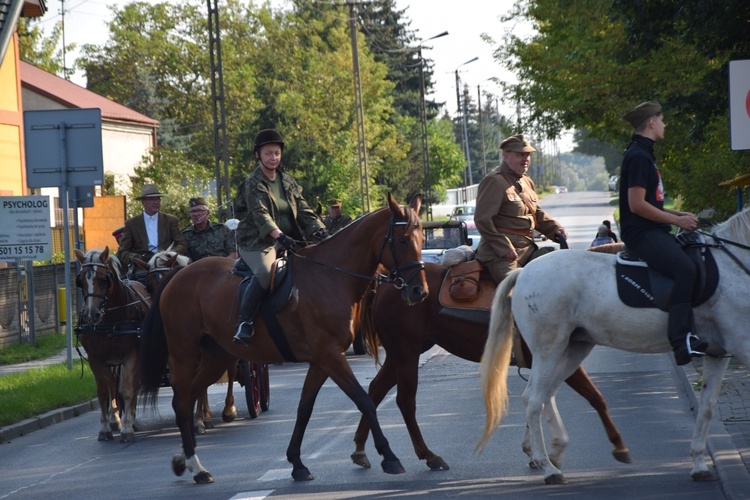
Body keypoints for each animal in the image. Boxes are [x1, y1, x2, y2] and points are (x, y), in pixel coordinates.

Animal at [74, 246, 151, 442]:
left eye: (103, 279)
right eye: (80, 282)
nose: (91, 315)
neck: (110, 321)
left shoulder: (132, 355)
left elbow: (128, 389)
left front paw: (127, 428)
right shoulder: (96, 358)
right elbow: (103, 392)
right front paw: (105, 428)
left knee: (130, 385)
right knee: (112, 386)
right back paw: (116, 419)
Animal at [137, 194, 426, 484]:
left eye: (422, 238)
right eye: (402, 240)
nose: (419, 291)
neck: (331, 276)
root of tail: (178, 273)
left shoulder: (321, 361)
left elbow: (304, 408)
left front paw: (297, 463)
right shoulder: (330, 356)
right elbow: (363, 400)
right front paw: (389, 457)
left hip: (216, 357)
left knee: (190, 396)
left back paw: (187, 459)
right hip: (183, 352)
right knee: (181, 400)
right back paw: (196, 466)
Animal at [356, 246, 632, 472]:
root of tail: (387, 285)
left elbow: (541, 399)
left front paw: (534, 451)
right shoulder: (559, 358)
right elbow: (593, 396)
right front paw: (618, 445)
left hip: (400, 354)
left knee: (375, 389)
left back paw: (362, 450)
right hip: (407, 353)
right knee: (404, 400)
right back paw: (428, 456)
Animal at [482, 210, 750, 484]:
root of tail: (524, 271)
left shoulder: (718, 353)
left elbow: (707, 406)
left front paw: (699, 463)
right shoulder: (742, 343)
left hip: (573, 349)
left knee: (545, 395)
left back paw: (554, 455)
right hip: (549, 351)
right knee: (534, 400)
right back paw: (549, 468)